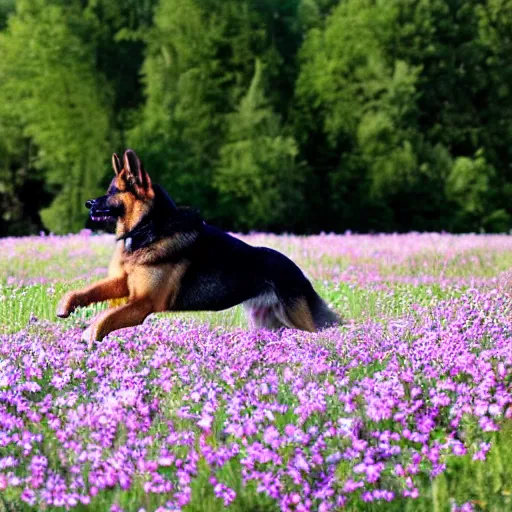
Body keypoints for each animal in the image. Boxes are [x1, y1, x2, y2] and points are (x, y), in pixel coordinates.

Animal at [57, 149, 340, 348]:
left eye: (113, 191)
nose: (88, 203)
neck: (148, 226)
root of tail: (299, 273)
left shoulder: (142, 304)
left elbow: (107, 317)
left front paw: (89, 333)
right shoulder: (124, 285)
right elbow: (87, 291)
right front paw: (67, 306)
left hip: (297, 319)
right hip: (270, 323)